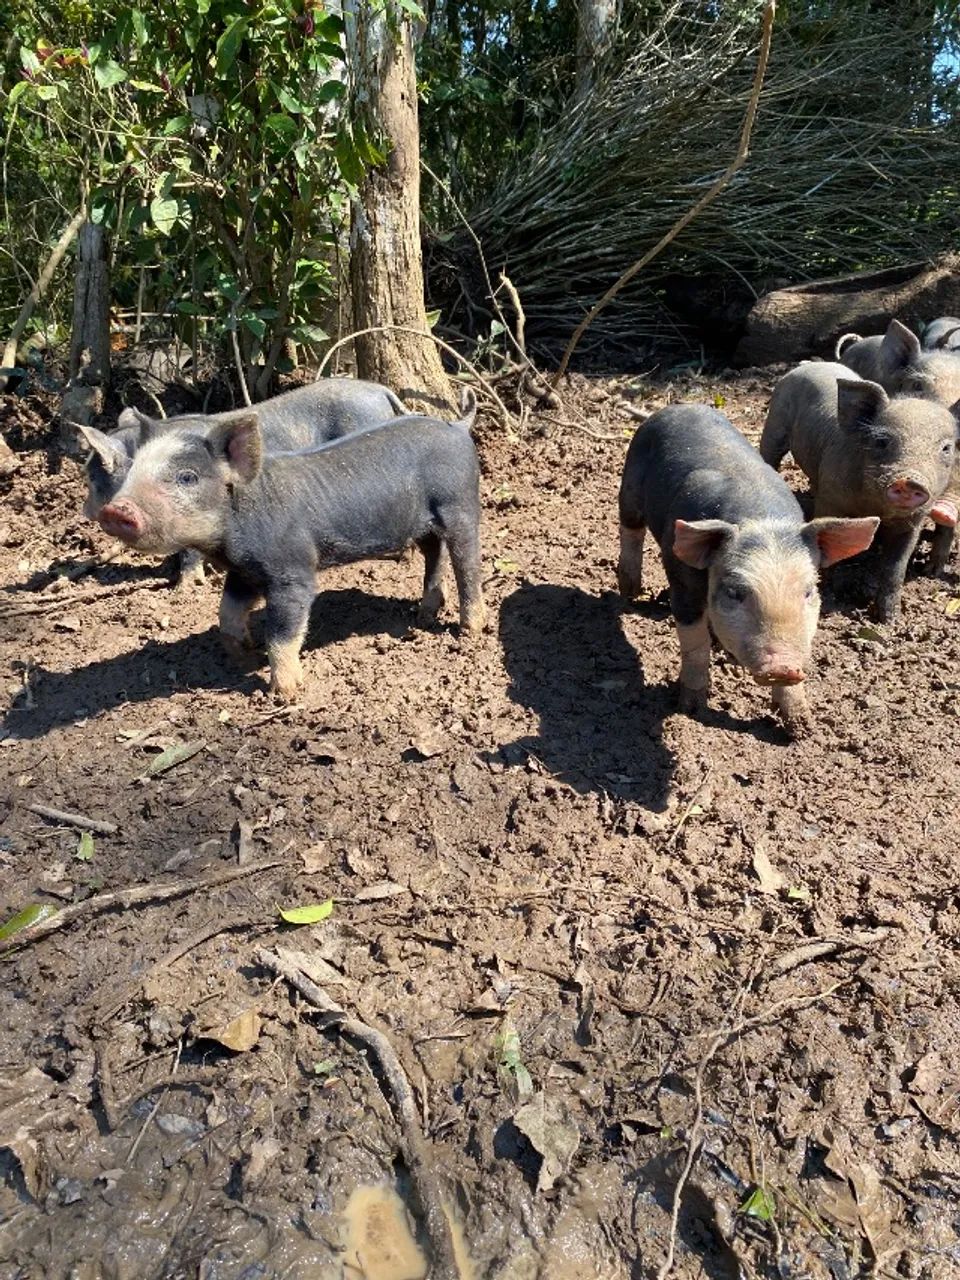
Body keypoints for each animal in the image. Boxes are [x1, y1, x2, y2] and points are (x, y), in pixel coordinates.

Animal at [93, 393, 485, 700]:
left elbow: (283, 634)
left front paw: (285, 692)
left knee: (468, 561)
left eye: (187, 477)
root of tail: (457, 427)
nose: (115, 510)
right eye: (135, 470)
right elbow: (226, 616)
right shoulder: (243, 571)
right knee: (434, 552)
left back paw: (470, 628)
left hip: (460, 504)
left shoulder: (292, 572)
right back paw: (423, 614)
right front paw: (244, 657)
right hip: (423, 523)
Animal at [617, 404, 877, 736]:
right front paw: (690, 708)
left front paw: (802, 730)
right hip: (629, 486)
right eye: (735, 592)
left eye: (808, 592)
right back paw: (631, 592)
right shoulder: (683, 579)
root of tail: (676, 407)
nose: (782, 666)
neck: (758, 517)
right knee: (630, 530)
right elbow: (695, 643)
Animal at [760, 362, 959, 619]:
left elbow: (895, 568)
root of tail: (807, 365)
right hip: (774, 422)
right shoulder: (831, 500)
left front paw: (889, 619)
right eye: (882, 441)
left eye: (946, 448)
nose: (910, 481)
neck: (876, 508)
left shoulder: (913, 521)